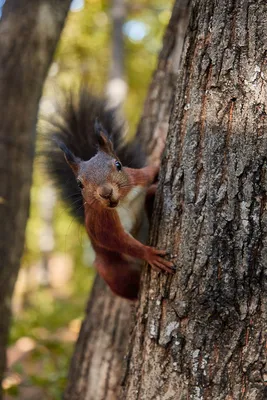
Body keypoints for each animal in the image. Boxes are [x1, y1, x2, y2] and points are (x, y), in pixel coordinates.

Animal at [44, 88, 174, 300]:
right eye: (79, 184)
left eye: (119, 165)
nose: (106, 192)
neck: (124, 201)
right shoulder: (102, 224)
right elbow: (121, 243)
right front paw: (149, 254)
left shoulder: (140, 177)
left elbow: (151, 171)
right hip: (113, 272)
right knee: (128, 288)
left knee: (149, 195)